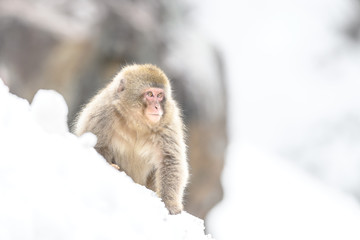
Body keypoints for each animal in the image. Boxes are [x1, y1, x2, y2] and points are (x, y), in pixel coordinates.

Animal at [75, 63, 190, 214]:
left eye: (159, 95)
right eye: (150, 94)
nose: (157, 107)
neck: (136, 123)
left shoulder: (168, 123)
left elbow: (170, 160)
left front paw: (169, 203)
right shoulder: (102, 113)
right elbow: (96, 146)